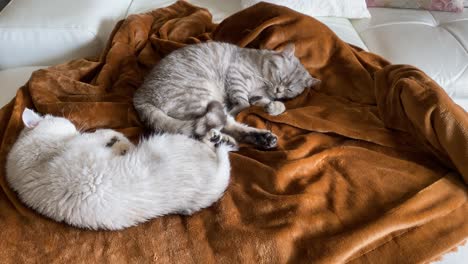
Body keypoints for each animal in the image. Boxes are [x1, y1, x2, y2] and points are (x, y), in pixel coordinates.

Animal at [6, 108, 233, 230]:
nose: (74, 127)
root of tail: (217, 184)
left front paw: (121, 143)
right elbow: (99, 135)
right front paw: (118, 140)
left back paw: (217, 137)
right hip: (168, 142)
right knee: (214, 151)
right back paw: (216, 139)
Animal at [133, 41, 320, 148]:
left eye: (290, 89)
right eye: (280, 77)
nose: (278, 90)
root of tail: (140, 96)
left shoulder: (256, 95)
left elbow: (266, 103)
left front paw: (275, 106)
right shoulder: (236, 76)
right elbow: (243, 103)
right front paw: (238, 107)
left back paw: (255, 139)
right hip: (201, 96)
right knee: (210, 129)